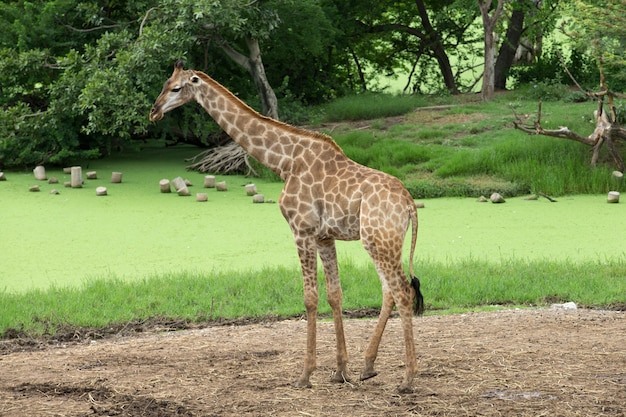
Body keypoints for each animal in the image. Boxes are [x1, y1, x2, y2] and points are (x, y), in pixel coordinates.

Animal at [150, 60, 424, 392]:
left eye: (176, 87)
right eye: (165, 83)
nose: (154, 111)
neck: (284, 162)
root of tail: (409, 204)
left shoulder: (300, 230)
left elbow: (310, 298)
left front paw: (305, 375)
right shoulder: (324, 237)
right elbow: (335, 295)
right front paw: (340, 371)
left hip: (378, 240)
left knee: (402, 291)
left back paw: (408, 379)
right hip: (382, 242)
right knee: (390, 291)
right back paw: (368, 366)